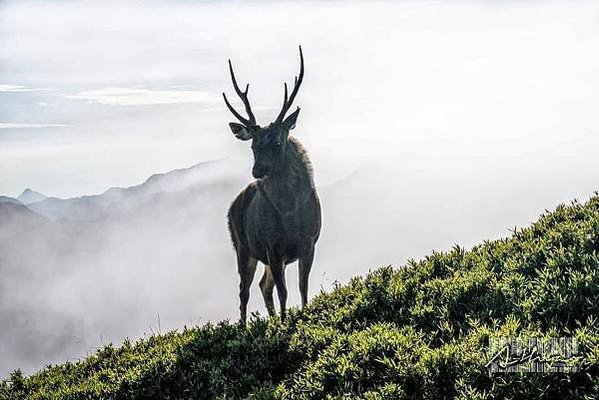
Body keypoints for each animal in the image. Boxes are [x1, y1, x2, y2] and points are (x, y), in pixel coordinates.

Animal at [224, 47, 322, 324]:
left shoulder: (309, 243)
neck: (291, 216)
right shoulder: (273, 248)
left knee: (262, 285)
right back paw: (244, 326)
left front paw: (302, 315)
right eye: (253, 146)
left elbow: (302, 286)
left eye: (277, 142)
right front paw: (285, 322)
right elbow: (284, 291)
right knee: (244, 290)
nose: (257, 171)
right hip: (242, 246)